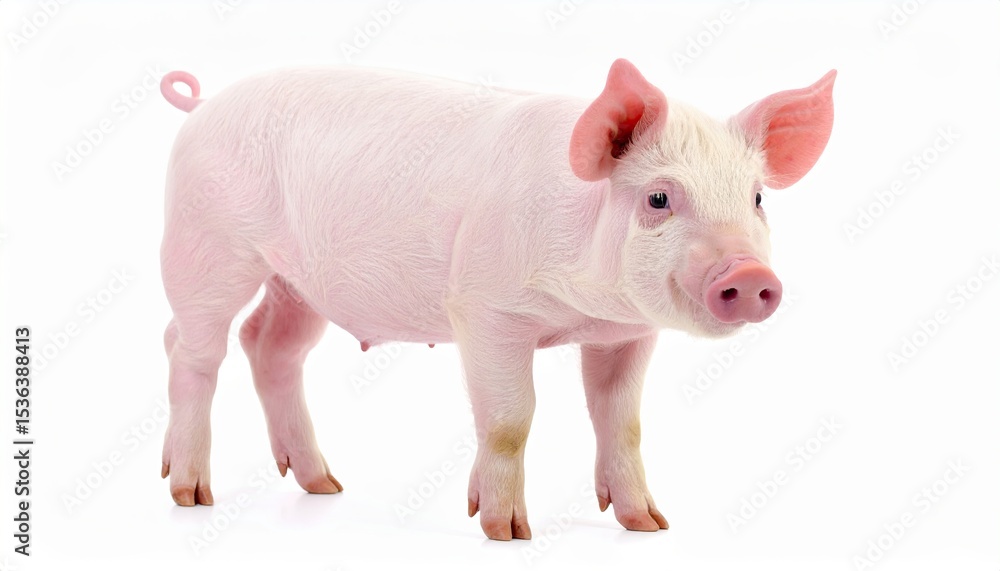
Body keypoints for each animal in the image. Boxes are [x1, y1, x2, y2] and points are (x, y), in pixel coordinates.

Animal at [158, 59, 835, 540]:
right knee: (191, 348)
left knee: (270, 346)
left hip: (297, 281)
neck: (582, 306)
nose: (749, 273)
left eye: (756, 199)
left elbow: (623, 422)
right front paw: (507, 532)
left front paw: (648, 524)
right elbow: (510, 419)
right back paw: (190, 494)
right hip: (207, 244)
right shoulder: (484, 310)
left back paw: (324, 486)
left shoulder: (627, 333)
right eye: (659, 199)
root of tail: (202, 105)